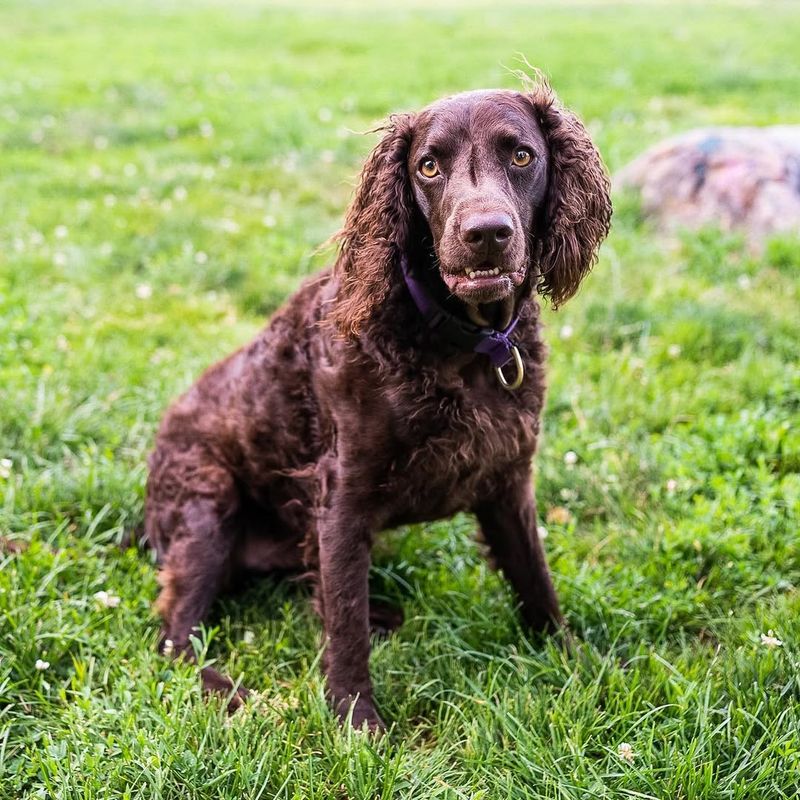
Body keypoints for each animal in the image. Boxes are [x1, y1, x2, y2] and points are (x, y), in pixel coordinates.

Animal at [144, 76, 608, 732]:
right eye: (428, 166)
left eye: (522, 155)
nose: (486, 233)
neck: (460, 344)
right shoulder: (342, 496)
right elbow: (345, 626)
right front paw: (355, 720)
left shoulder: (509, 479)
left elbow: (535, 581)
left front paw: (572, 659)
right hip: (206, 502)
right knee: (177, 635)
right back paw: (227, 690)